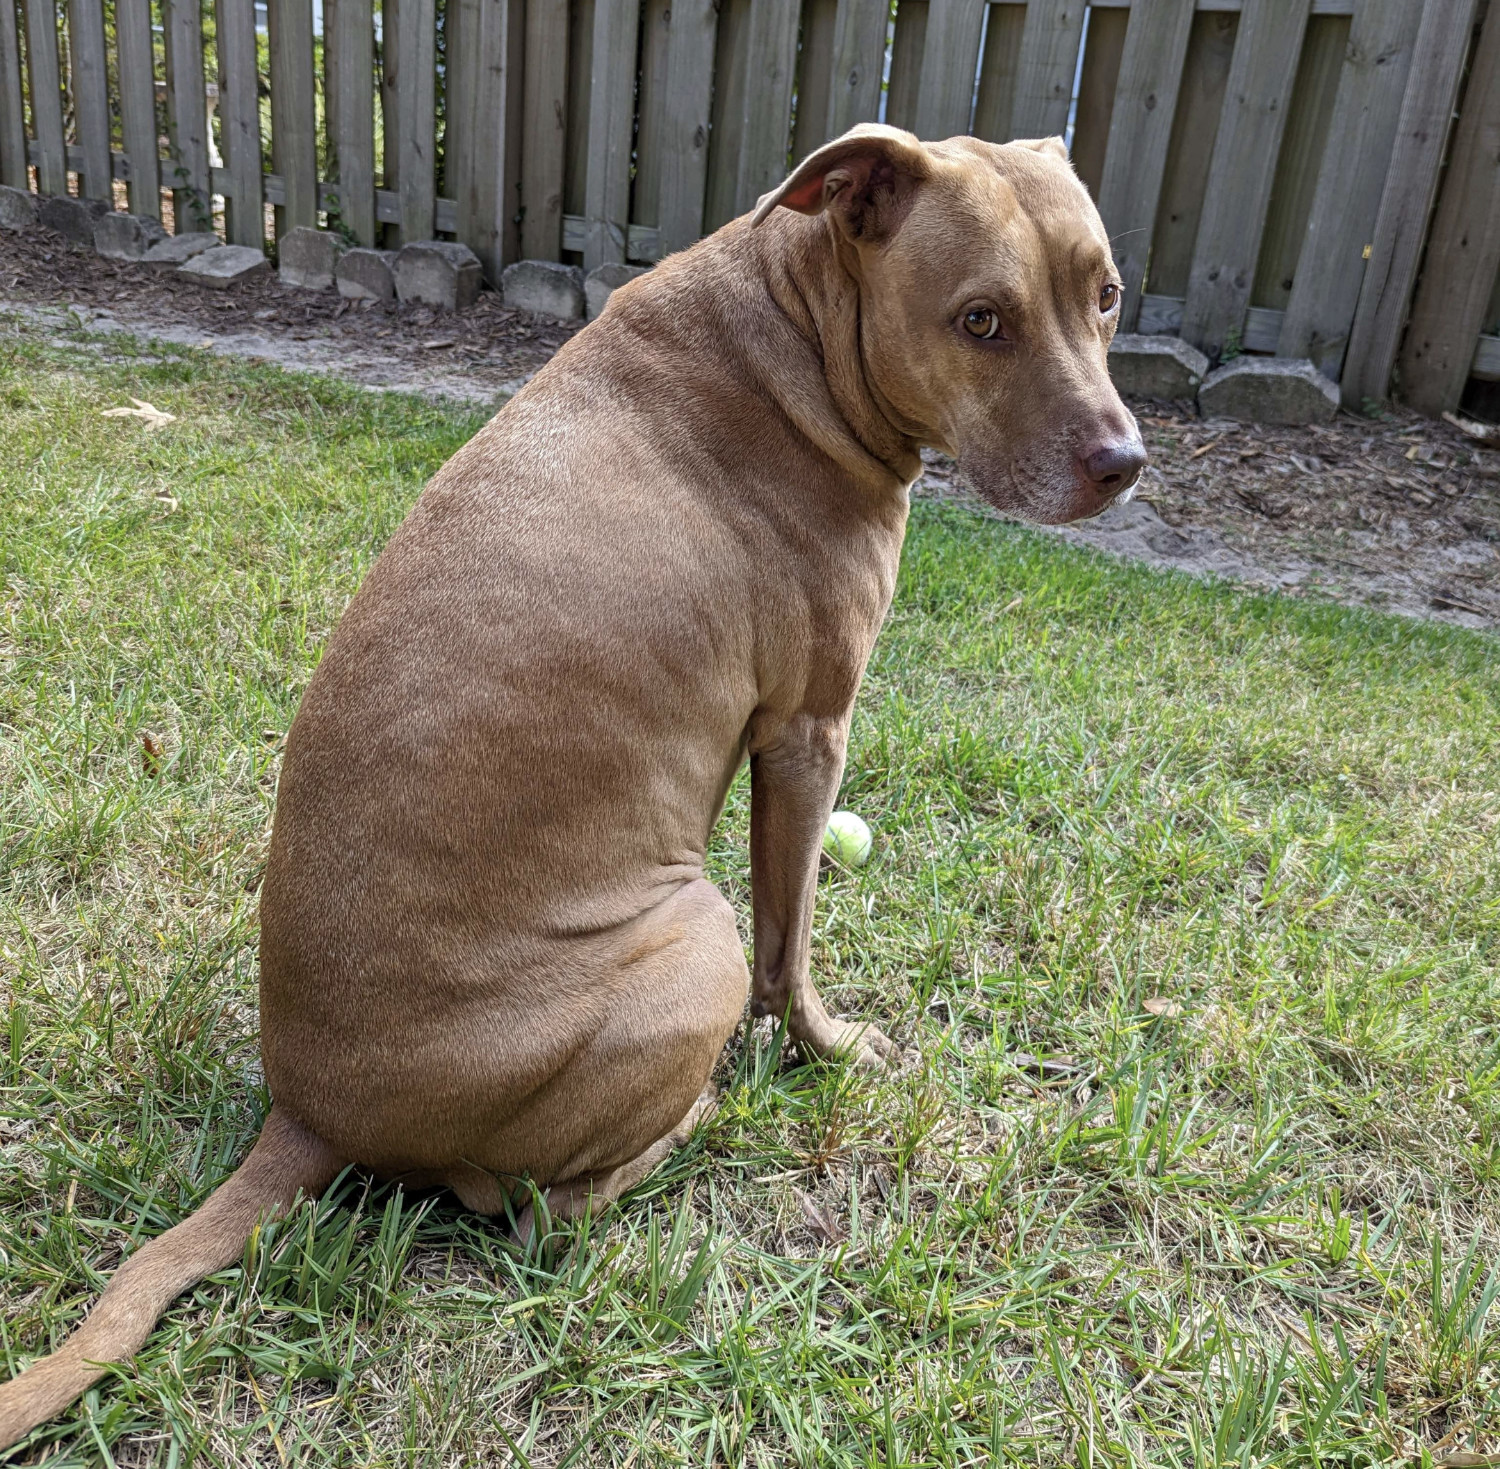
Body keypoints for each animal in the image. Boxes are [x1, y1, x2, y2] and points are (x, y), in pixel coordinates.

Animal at [5, 126, 1140, 1446]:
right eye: (980, 319)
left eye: (1105, 295)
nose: (1124, 462)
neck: (799, 319)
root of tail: (312, 1114)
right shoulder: (808, 735)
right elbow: (793, 948)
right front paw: (834, 1048)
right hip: (690, 928)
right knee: (537, 1205)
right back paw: (687, 1124)